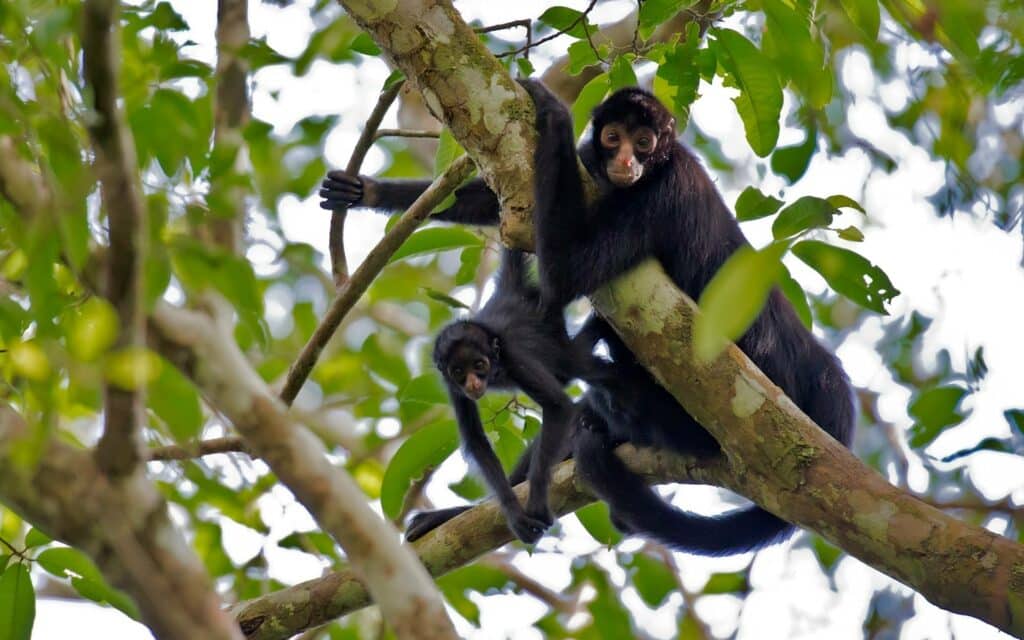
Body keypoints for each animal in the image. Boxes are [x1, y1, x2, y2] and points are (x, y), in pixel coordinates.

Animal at [415, 246, 606, 540]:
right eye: (459, 372)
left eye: (479, 365)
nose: (472, 384)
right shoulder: (451, 385)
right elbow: (476, 439)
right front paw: (513, 512)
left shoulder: (514, 358)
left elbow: (558, 406)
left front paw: (536, 498)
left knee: (573, 363)